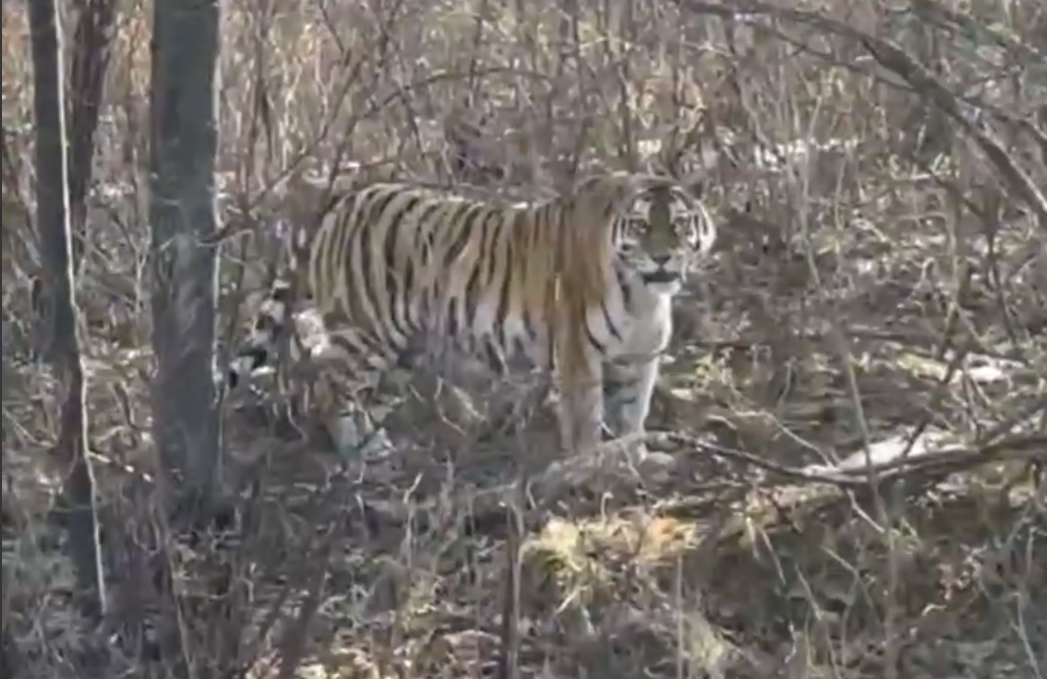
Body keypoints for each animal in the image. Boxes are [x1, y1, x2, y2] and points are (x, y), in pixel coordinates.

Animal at [226, 171, 717, 457]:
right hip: (367, 331)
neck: (644, 296)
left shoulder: (640, 358)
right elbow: (586, 420)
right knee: (329, 385)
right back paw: (356, 453)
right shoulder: (579, 352)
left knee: (363, 394)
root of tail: (342, 200)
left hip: (404, 351)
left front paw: (633, 463)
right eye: (642, 227)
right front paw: (587, 469)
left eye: (677, 226)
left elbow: (634, 416)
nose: (662, 258)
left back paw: (374, 446)